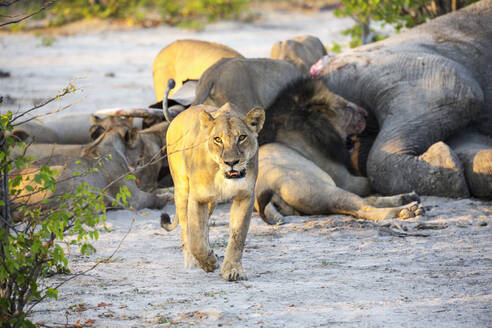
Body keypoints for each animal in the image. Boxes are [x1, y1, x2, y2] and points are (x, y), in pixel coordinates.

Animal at [164, 103, 266, 282]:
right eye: (218, 139)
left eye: (242, 137)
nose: (231, 162)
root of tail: (178, 116)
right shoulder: (198, 198)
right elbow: (196, 239)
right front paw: (208, 263)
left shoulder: (245, 196)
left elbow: (237, 236)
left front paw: (233, 270)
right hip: (182, 189)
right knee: (186, 230)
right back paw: (192, 263)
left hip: (212, 202)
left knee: (204, 227)